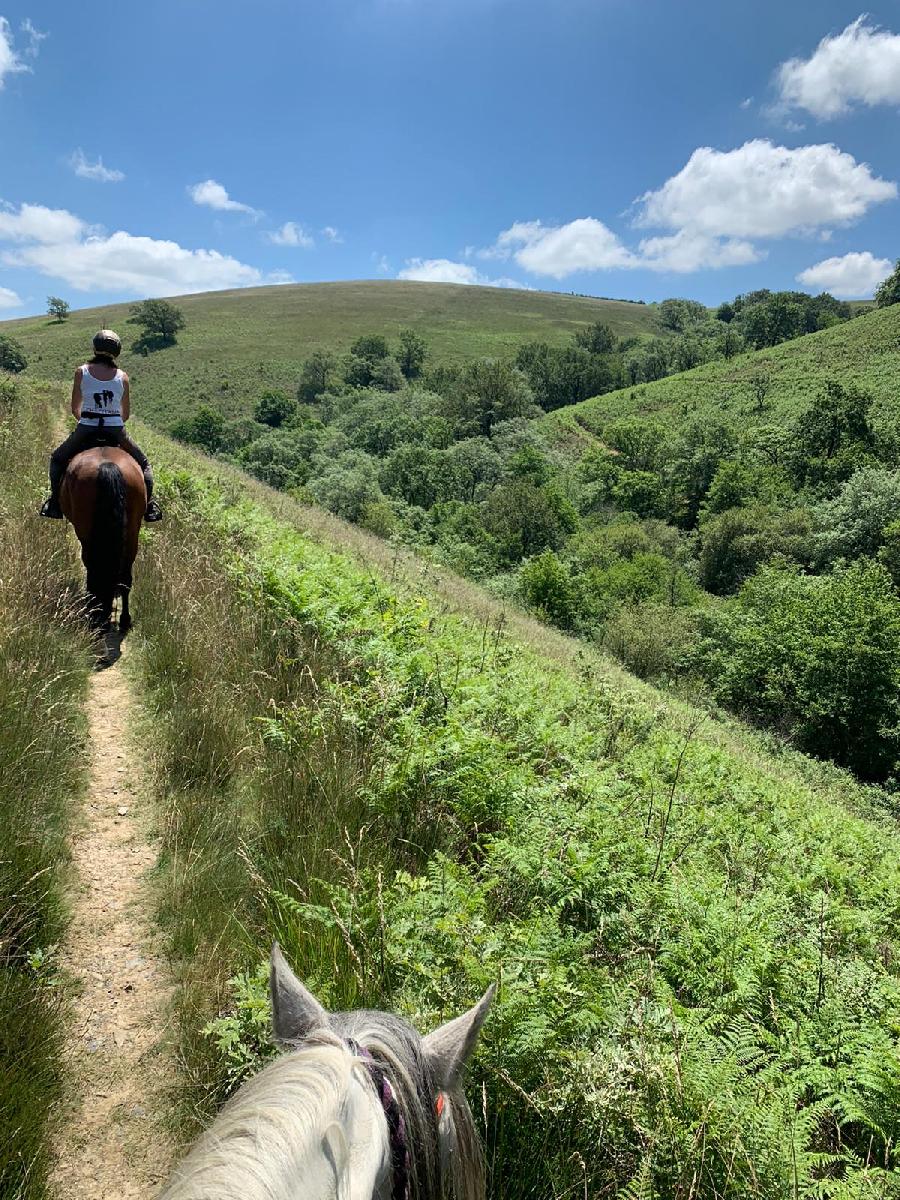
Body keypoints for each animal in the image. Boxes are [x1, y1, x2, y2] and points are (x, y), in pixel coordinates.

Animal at [60, 448, 145, 633]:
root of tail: (108, 465)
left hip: (85, 531)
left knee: (93, 567)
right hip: (132, 533)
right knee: (125, 578)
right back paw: (123, 620)